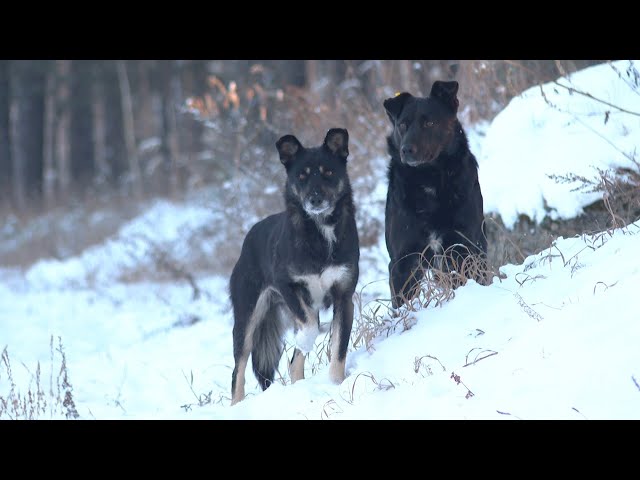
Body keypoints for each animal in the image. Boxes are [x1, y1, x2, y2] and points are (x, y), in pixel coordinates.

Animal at [230, 127, 360, 404]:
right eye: (301, 176)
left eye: (328, 172)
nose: (315, 199)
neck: (320, 232)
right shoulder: (286, 285)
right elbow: (309, 327)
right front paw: (306, 340)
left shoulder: (343, 297)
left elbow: (339, 349)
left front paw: (336, 385)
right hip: (247, 316)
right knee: (239, 368)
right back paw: (236, 405)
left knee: (292, 364)